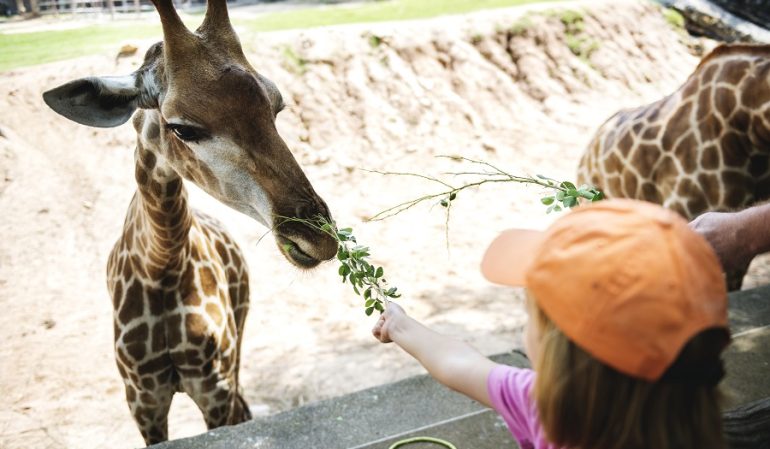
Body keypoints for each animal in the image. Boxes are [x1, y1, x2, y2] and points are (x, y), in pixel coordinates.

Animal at [41, 0, 336, 442]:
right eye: (182, 128)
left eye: (276, 106)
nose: (318, 238)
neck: (161, 265)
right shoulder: (143, 400)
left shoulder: (213, 386)